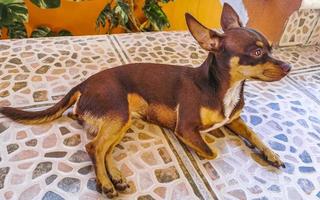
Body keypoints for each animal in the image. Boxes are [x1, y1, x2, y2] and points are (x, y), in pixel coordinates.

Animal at [0, 3, 290, 198]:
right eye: (256, 52)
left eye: (271, 48)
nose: (288, 66)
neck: (223, 87)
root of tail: (83, 84)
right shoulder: (186, 128)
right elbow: (212, 150)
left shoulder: (234, 119)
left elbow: (253, 134)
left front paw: (271, 154)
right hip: (118, 113)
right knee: (94, 147)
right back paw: (105, 183)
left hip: (122, 119)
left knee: (103, 147)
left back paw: (116, 176)